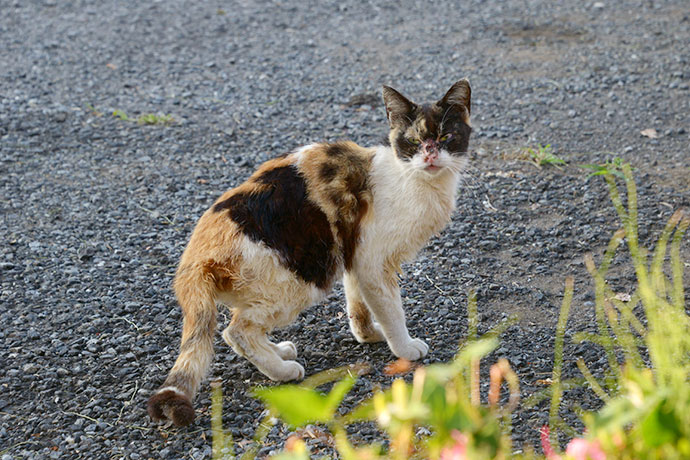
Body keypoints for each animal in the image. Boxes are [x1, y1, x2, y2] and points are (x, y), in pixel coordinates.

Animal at [147, 78, 470, 424]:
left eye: (446, 137)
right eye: (412, 140)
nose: (430, 156)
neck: (411, 178)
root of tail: (194, 257)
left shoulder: (354, 257)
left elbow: (359, 305)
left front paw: (369, 335)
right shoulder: (374, 262)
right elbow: (392, 310)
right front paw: (405, 347)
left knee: (238, 330)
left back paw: (279, 352)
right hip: (301, 279)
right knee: (238, 331)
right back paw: (283, 370)